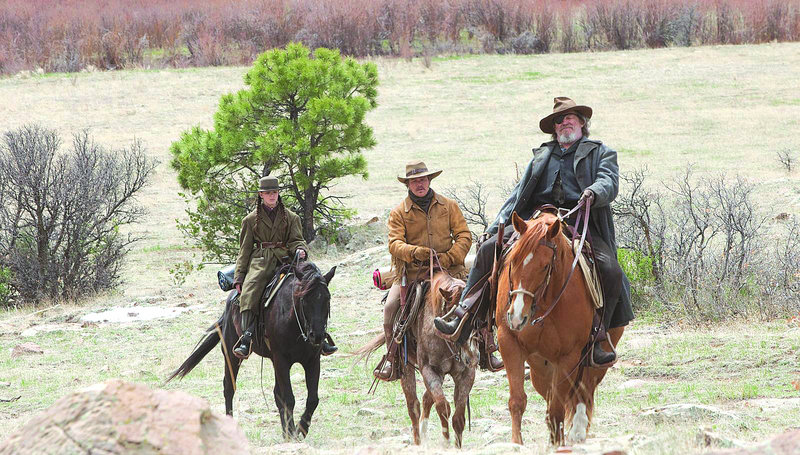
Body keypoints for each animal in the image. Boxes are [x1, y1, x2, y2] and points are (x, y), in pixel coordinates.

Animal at [166, 264, 334, 442]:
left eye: (327, 299)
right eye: (304, 300)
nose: (317, 335)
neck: (294, 323)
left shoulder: (312, 361)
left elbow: (312, 399)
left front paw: (299, 430)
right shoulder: (282, 361)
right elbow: (289, 398)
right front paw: (293, 433)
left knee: (276, 394)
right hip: (231, 355)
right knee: (229, 387)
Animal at [494, 213, 624, 446]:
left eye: (546, 266)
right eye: (513, 260)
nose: (517, 316)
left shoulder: (568, 357)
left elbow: (557, 408)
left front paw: (558, 444)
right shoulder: (509, 341)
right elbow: (518, 401)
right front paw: (516, 444)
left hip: (595, 362)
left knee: (583, 391)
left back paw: (577, 432)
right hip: (539, 368)